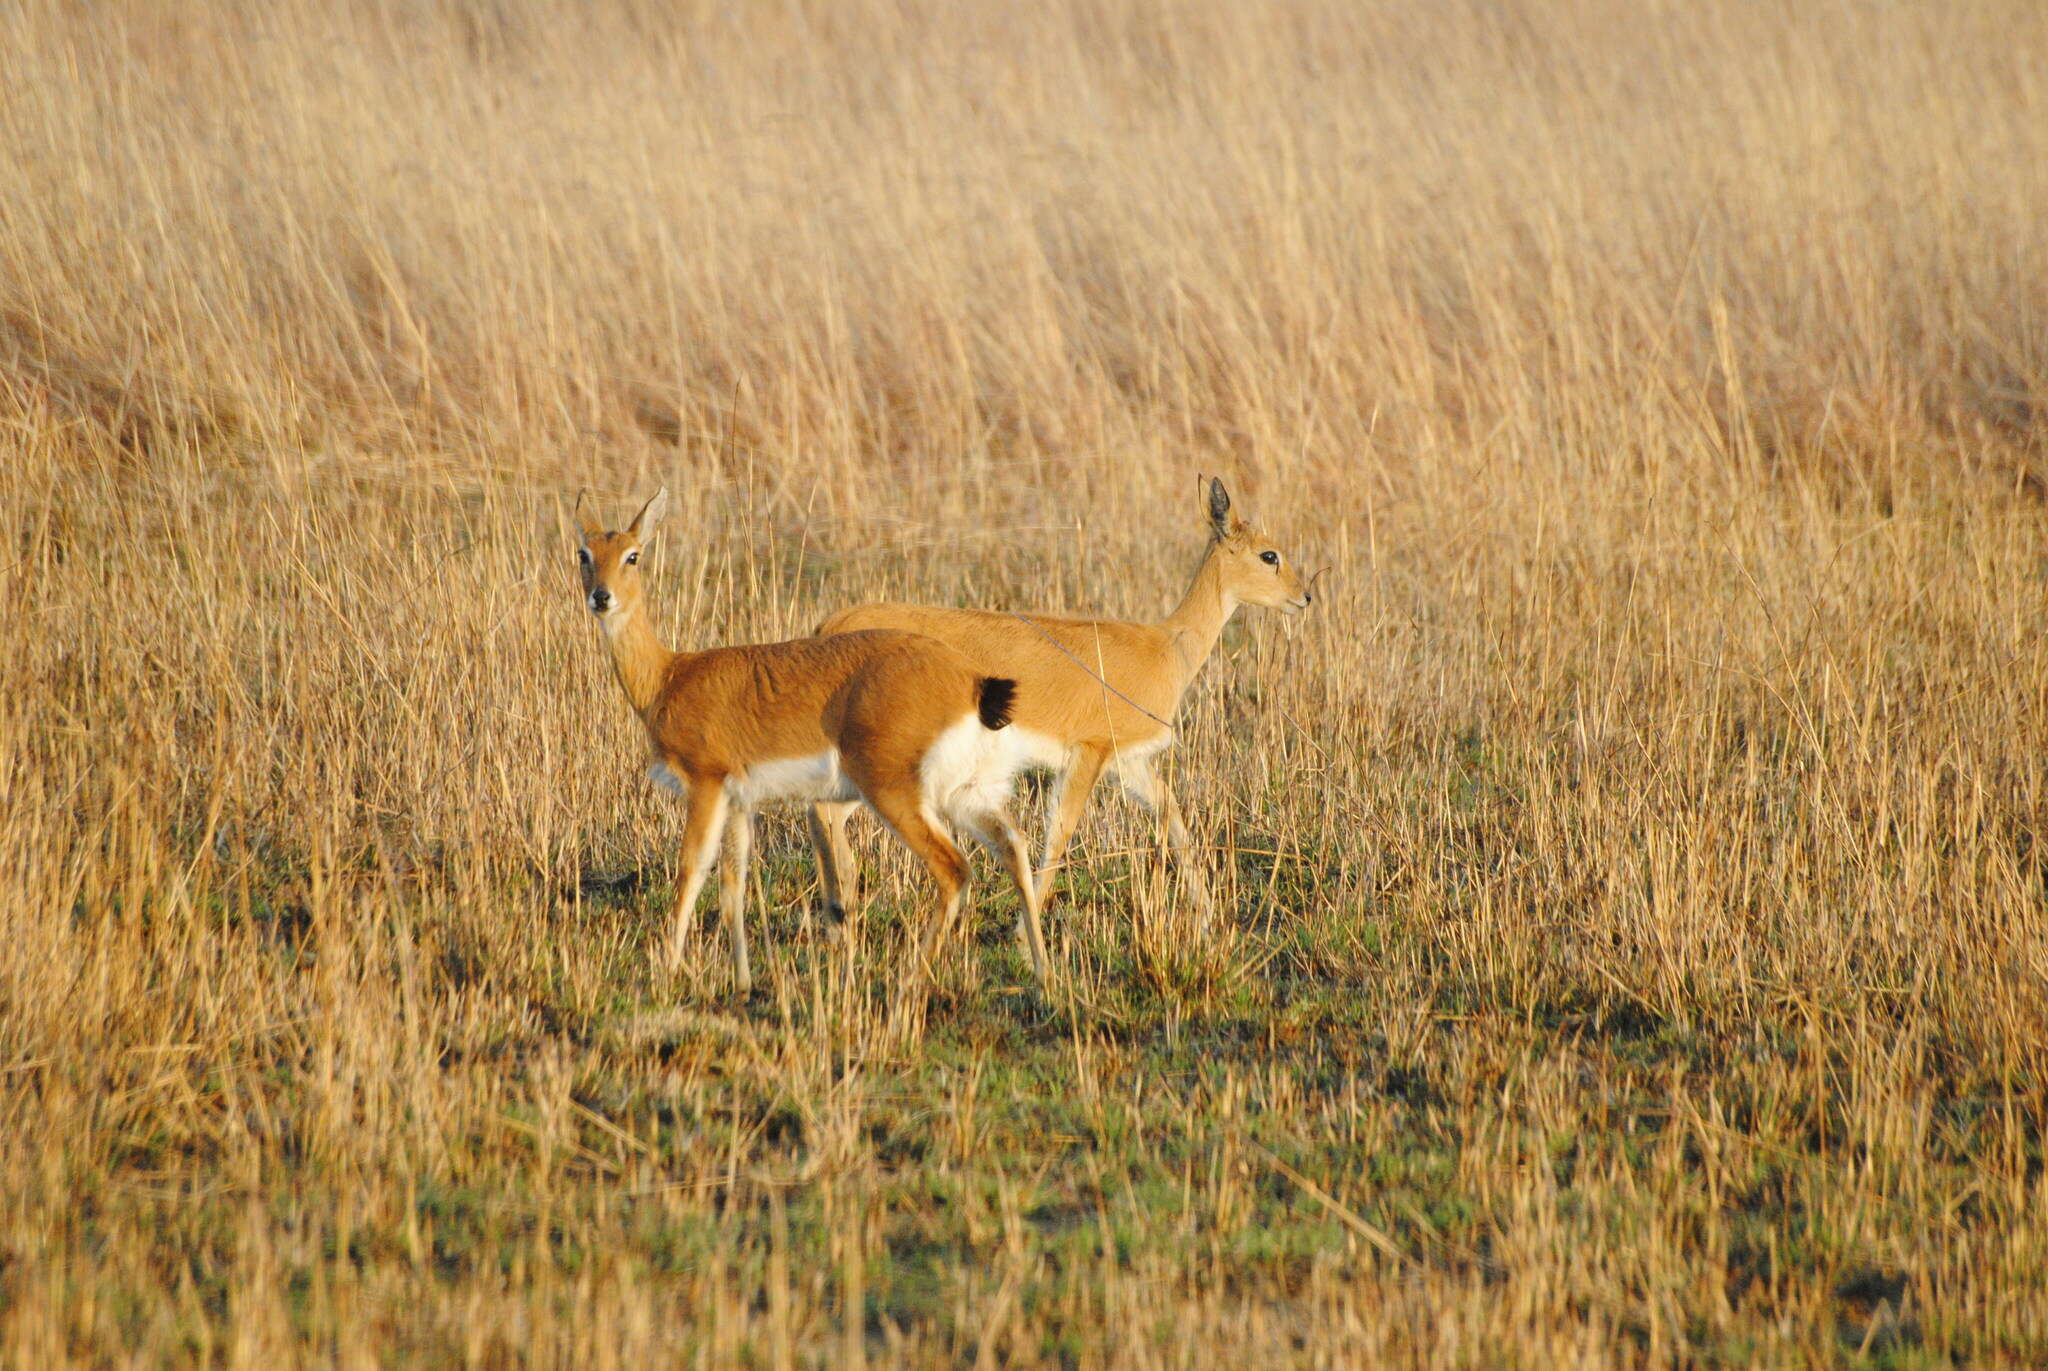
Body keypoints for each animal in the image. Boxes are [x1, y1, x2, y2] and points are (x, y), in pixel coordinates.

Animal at [577, 485, 1056, 987]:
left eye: (633, 555)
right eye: (584, 553)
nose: (601, 598)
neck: (668, 677)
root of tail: (973, 682)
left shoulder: (705, 787)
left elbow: (691, 870)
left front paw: (668, 971)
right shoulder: (739, 803)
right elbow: (732, 887)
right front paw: (743, 982)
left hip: (895, 795)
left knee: (954, 869)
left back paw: (908, 981)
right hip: (966, 794)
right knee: (1014, 846)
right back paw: (1043, 973)